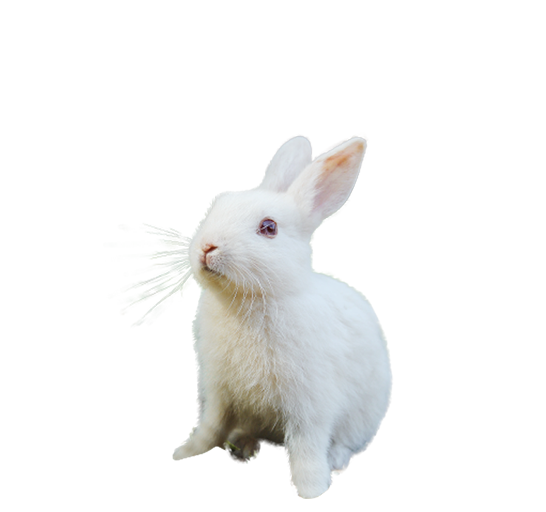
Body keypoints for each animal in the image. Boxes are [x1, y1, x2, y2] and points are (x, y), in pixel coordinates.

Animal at [172, 136, 392, 499]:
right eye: (217, 209)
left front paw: (312, 492)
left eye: (269, 227)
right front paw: (185, 455)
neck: (249, 302)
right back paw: (245, 449)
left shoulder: (309, 406)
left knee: (344, 441)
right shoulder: (219, 395)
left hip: (363, 413)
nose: (206, 247)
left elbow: (306, 448)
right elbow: (210, 429)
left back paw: (335, 461)